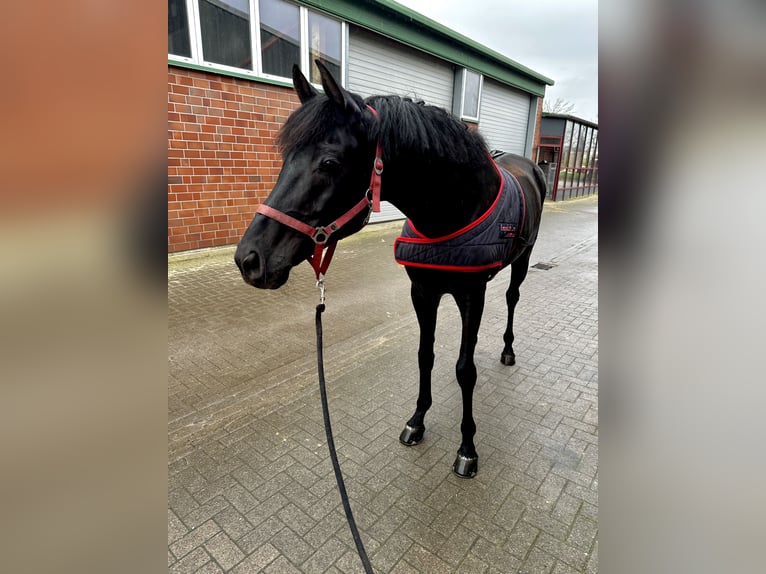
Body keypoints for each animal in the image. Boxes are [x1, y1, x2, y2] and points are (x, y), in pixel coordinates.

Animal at [234, 60, 544, 480]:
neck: (452, 211)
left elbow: (466, 369)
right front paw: (417, 420)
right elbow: (425, 355)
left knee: (512, 299)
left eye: (329, 162)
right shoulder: (422, 292)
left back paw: (508, 350)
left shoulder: (471, 295)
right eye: (286, 159)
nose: (249, 259)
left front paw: (467, 448)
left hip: (523, 261)